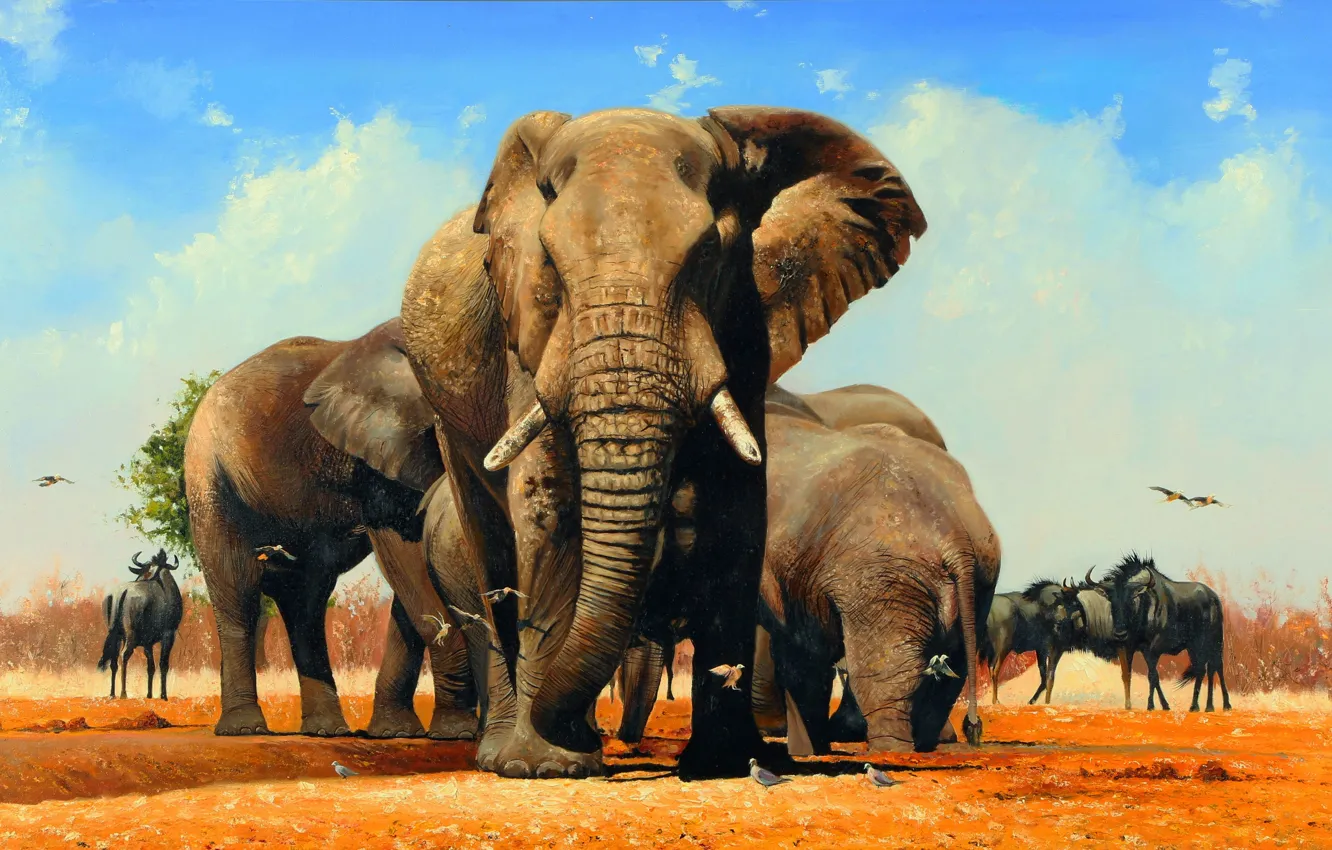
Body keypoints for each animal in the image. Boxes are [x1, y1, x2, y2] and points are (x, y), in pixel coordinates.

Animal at [183, 318, 478, 738]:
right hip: (209, 474)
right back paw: (245, 729)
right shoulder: (378, 459)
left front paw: (396, 733)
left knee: (305, 602)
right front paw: (456, 732)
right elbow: (406, 556)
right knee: (239, 588)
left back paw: (327, 729)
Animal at [397, 105, 927, 778]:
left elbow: (736, 505)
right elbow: (551, 502)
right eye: (549, 263)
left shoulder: (745, 322)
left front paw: (727, 763)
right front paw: (549, 766)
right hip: (448, 415)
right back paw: (501, 754)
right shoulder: (528, 332)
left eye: (707, 257)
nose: (582, 734)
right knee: (488, 540)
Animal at [615, 383, 998, 755]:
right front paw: (813, 749)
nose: (627, 743)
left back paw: (890, 750)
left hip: (886, 580)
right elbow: (803, 644)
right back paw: (920, 745)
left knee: (884, 672)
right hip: (976, 583)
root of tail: (957, 539)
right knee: (949, 673)